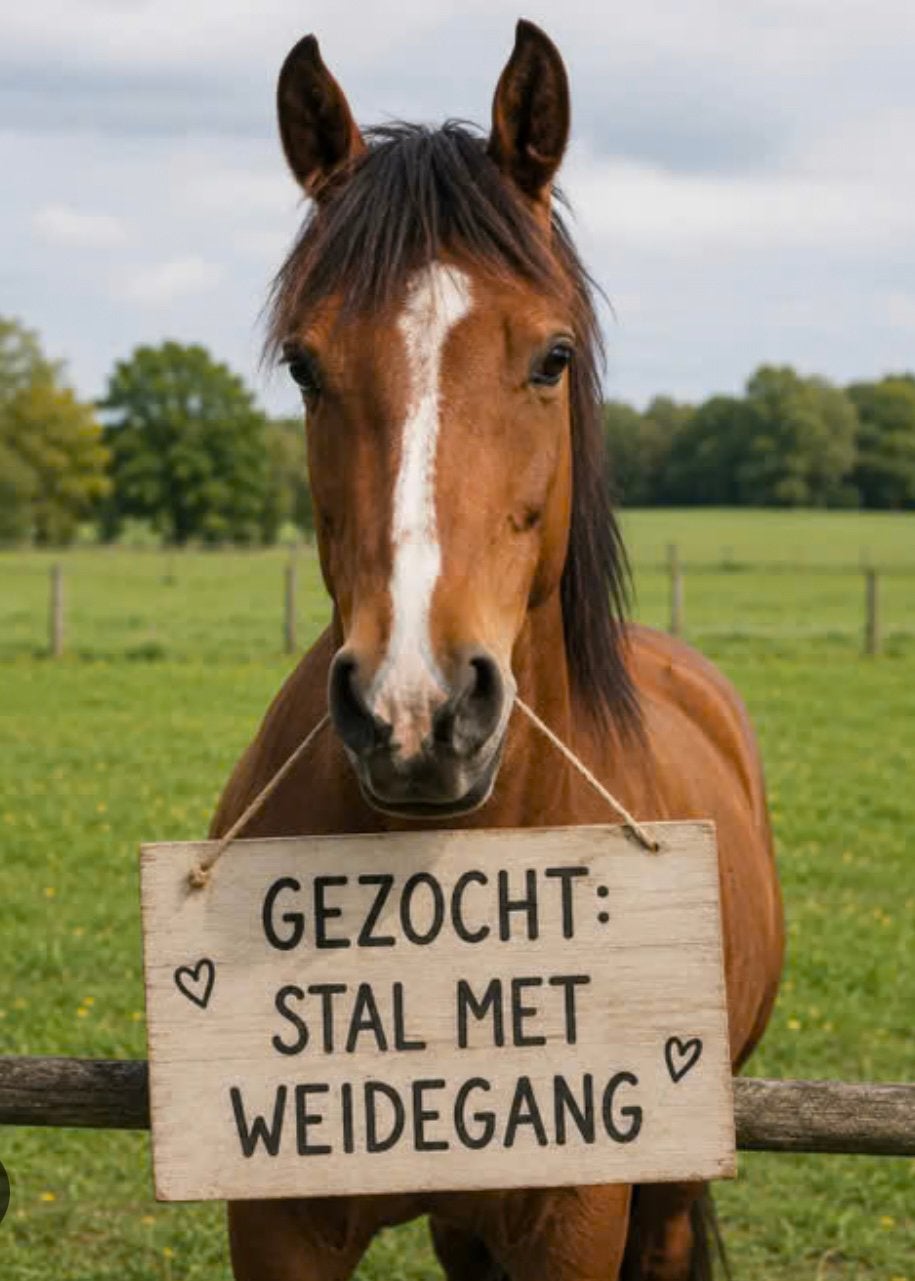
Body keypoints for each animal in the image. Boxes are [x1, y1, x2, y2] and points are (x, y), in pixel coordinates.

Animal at [211, 20, 784, 1281]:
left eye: (553, 357)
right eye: (305, 366)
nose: (417, 712)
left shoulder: (575, 1216)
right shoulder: (280, 1217)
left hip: (667, 1197)